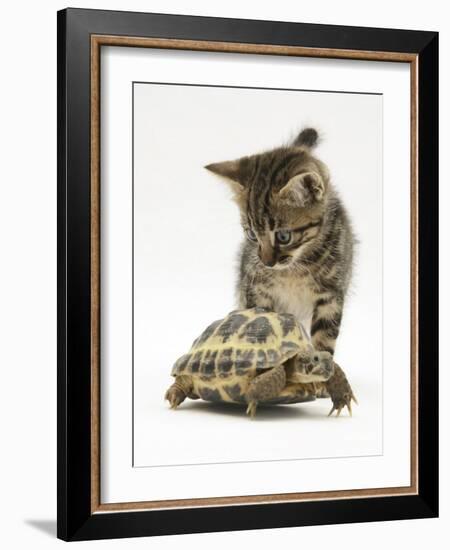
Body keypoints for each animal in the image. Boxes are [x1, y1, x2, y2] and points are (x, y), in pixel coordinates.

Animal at [206, 128, 356, 358]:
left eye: (283, 237)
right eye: (252, 234)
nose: (267, 263)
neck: (294, 269)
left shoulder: (331, 294)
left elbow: (325, 336)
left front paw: (321, 361)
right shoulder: (256, 289)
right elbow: (259, 321)